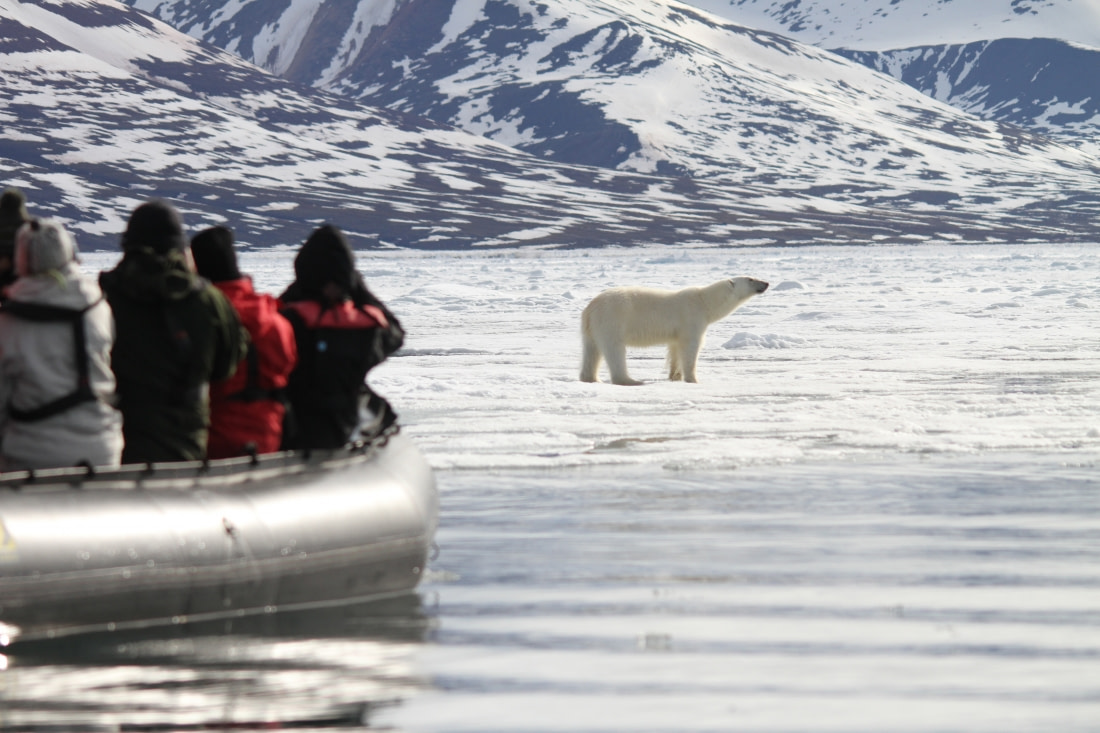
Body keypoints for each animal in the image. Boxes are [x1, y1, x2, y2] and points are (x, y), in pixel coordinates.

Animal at [580, 277, 770, 385]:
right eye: (751, 279)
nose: (766, 283)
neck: (704, 302)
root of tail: (591, 308)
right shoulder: (692, 318)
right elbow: (690, 347)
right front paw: (693, 379)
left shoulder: (677, 331)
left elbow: (675, 349)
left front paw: (675, 376)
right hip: (613, 319)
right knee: (614, 350)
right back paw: (630, 380)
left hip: (592, 327)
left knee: (591, 351)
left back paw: (590, 378)